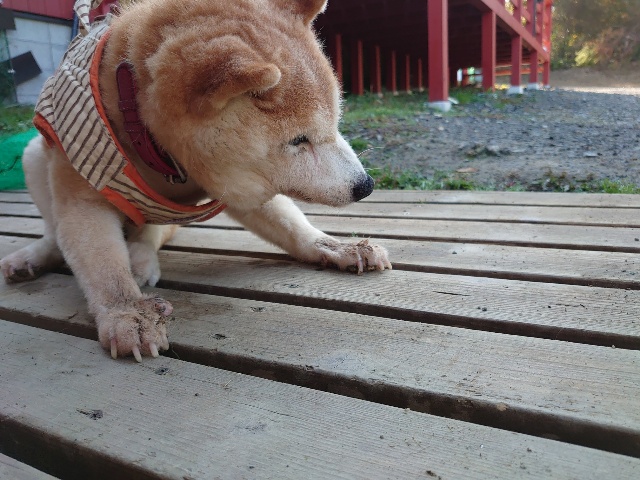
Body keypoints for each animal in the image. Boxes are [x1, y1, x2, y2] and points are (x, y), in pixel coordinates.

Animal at [0, 0, 391, 362]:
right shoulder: (82, 186)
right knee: (57, 232)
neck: (153, 145)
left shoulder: (241, 182)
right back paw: (35, 257)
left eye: (335, 123)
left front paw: (335, 247)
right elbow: (102, 265)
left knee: (150, 230)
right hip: (34, 156)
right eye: (298, 140)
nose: (366, 185)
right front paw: (127, 313)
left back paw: (140, 258)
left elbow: (292, 226)